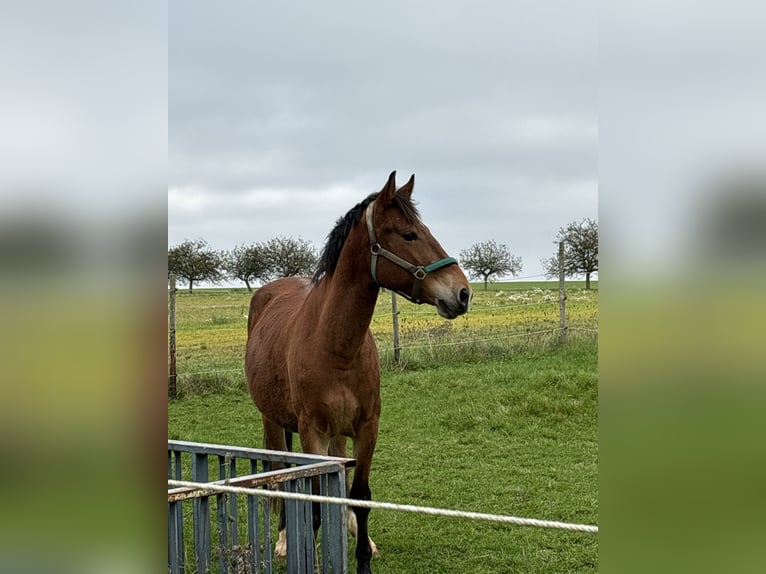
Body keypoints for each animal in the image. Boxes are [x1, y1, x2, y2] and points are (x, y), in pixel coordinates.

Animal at [248, 172, 474, 574]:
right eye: (408, 234)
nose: (462, 293)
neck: (335, 346)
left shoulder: (368, 426)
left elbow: (359, 495)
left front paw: (362, 554)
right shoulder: (313, 433)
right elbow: (315, 500)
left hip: (339, 433)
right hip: (273, 422)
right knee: (280, 472)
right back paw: (285, 538)